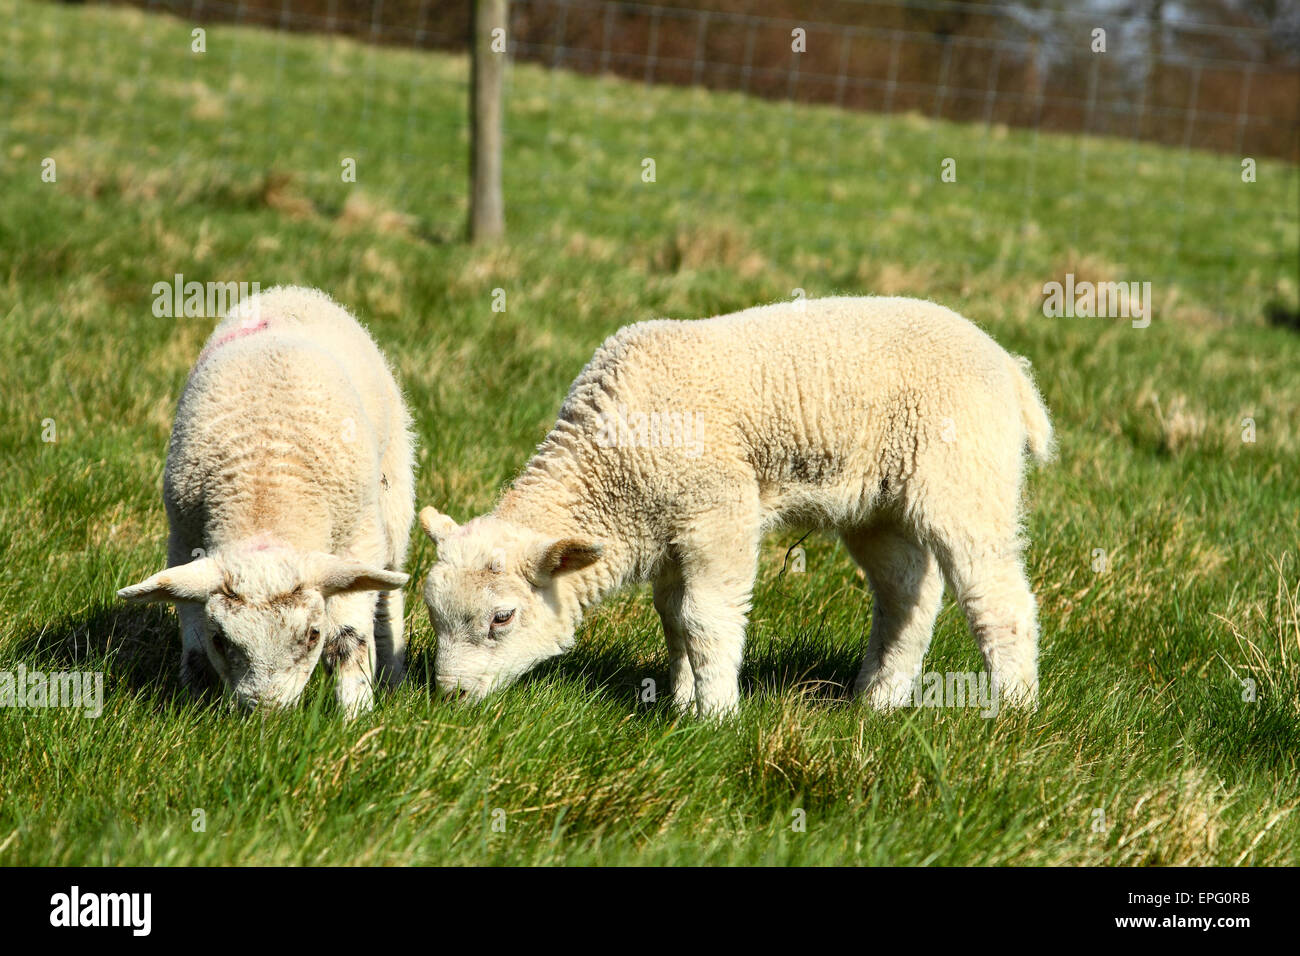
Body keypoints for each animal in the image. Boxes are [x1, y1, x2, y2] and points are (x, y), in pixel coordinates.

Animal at [118, 286, 415, 716]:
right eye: (221, 640)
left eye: (313, 635)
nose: (266, 715)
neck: (266, 489)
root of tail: (292, 291)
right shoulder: (183, 542)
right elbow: (194, 648)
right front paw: (192, 705)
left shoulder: (357, 540)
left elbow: (349, 640)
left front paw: (356, 712)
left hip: (393, 499)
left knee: (388, 591)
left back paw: (392, 672)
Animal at [419, 295, 1053, 717]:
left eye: (502, 617)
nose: (450, 697)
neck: (610, 474)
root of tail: (1007, 365)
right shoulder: (669, 528)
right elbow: (673, 617)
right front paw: (681, 703)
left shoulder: (716, 509)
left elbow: (706, 618)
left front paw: (716, 715)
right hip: (878, 506)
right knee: (907, 598)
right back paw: (876, 704)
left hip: (964, 477)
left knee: (998, 597)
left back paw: (1013, 710)